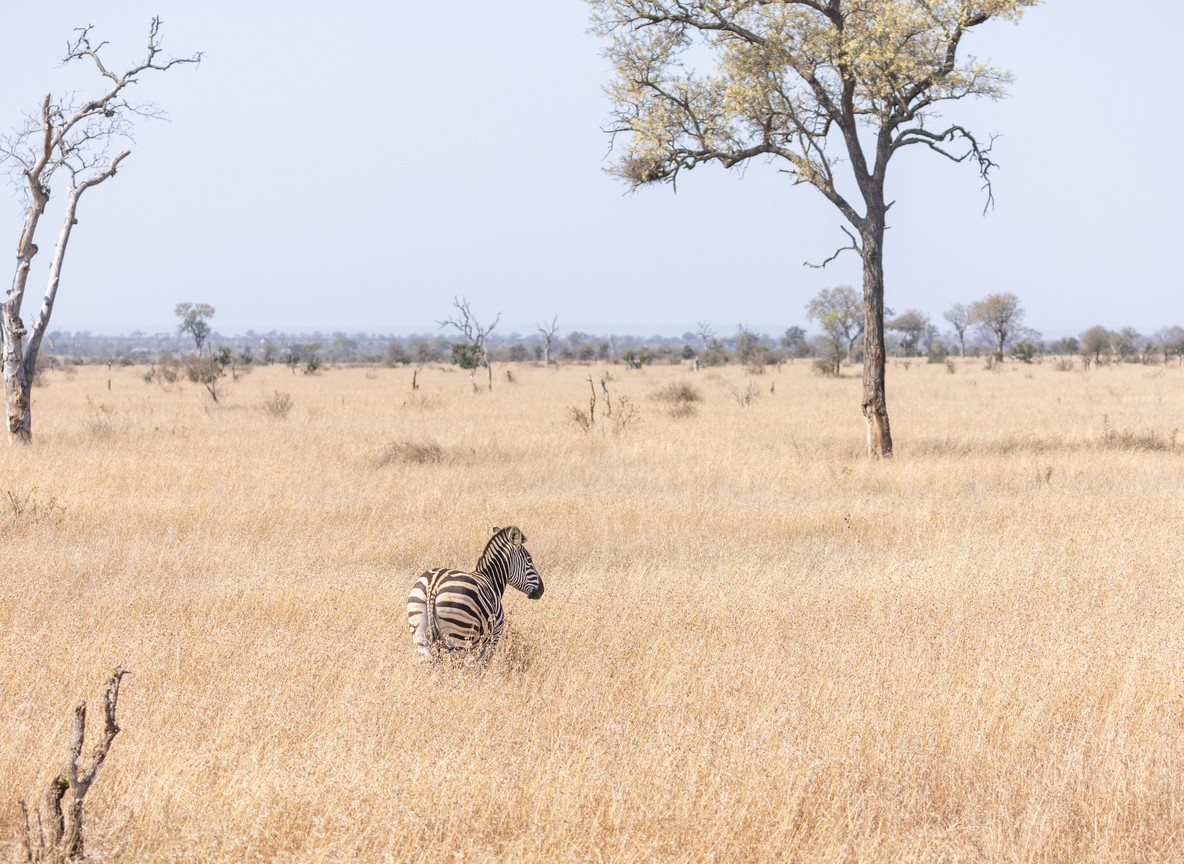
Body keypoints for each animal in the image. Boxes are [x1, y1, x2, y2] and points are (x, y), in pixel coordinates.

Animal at [407, 526, 544, 661]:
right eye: (529, 560)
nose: (542, 590)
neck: (490, 579)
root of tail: (434, 584)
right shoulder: (493, 638)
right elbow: (482, 664)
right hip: (459, 641)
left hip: (423, 639)